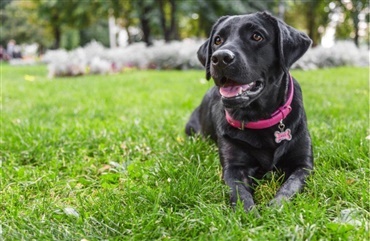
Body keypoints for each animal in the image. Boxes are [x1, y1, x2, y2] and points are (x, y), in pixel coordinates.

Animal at [185, 11, 312, 211]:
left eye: (257, 36)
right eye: (218, 40)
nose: (220, 58)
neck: (260, 117)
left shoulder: (303, 164)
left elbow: (289, 188)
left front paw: (274, 208)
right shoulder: (234, 167)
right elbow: (240, 195)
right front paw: (251, 214)